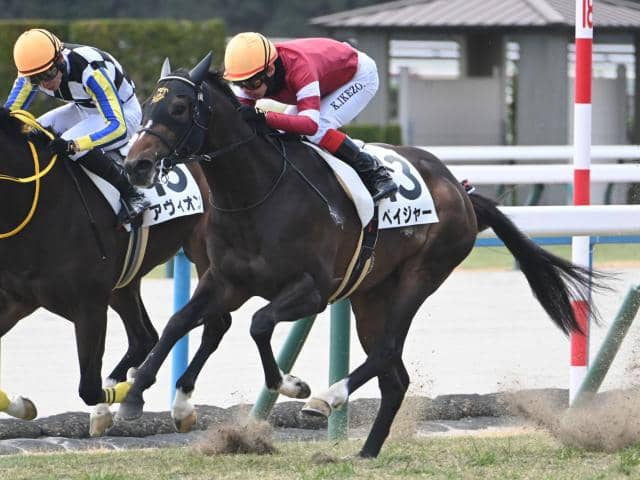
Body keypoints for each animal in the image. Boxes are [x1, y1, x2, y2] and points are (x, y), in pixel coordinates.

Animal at [0, 107, 227, 435]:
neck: (42, 204)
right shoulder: (17, 299)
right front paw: (23, 405)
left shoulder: (90, 305)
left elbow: (88, 388)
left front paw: (133, 391)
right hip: (125, 283)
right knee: (145, 337)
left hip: (206, 257)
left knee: (215, 324)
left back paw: (181, 406)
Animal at [118, 53, 601, 458]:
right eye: (145, 104)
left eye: (179, 107)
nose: (136, 165)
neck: (256, 193)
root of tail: (461, 192)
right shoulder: (225, 281)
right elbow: (180, 322)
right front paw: (144, 397)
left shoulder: (312, 291)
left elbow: (259, 324)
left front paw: (293, 384)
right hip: (371, 295)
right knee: (395, 375)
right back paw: (366, 451)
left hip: (421, 275)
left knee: (386, 350)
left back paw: (326, 397)